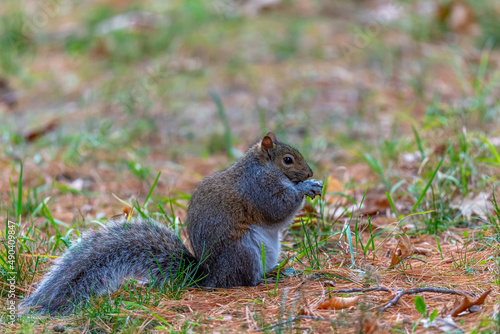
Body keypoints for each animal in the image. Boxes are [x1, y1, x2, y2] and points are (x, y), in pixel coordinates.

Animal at [20, 132, 324, 314]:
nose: (310, 172)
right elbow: (276, 209)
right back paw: (262, 279)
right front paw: (305, 187)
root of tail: (209, 277)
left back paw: (281, 271)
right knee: (243, 281)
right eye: (288, 160)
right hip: (245, 249)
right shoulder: (258, 188)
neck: (261, 167)